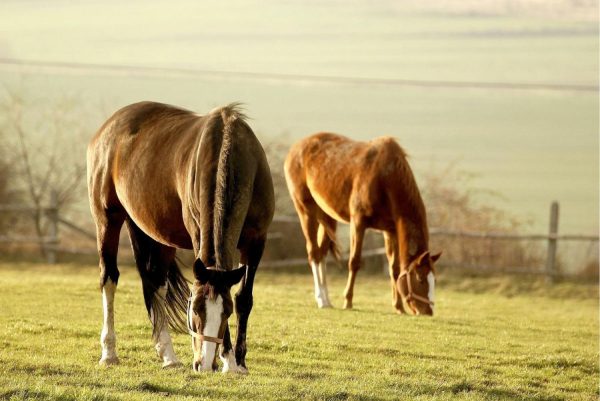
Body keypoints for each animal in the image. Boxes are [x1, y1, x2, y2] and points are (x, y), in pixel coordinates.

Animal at [86, 101, 274, 372]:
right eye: (194, 309)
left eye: (226, 312)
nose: (204, 364)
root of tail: (108, 127)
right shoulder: (198, 234)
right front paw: (228, 360)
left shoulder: (257, 241)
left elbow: (243, 298)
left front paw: (238, 362)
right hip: (107, 219)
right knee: (109, 278)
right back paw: (109, 352)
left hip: (159, 237)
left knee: (156, 283)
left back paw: (168, 355)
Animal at [284, 133, 438, 314]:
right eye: (420, 279)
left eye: (434, 279)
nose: (428, 312)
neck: (385, 177)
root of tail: (295, 148)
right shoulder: (358, 222)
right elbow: (354, 262)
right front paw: (348, 301)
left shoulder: (390, 230)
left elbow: (394, 269)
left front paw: (399, 307)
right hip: (306, 210)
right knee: (314, 253)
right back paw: (321, 299)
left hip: (327, 216)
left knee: (321, 253)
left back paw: (327, 300)